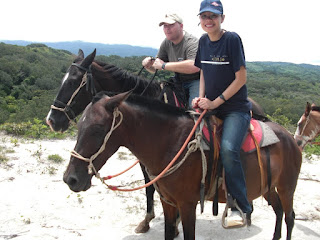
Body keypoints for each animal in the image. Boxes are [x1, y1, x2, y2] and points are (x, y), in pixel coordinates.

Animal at [63, 91, 302, 239]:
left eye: (97, 129)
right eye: (78, 127)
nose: (70, 179)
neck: (171, 141)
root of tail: (291, 139)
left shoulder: (187, 205)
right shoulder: (168, 203)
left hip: (287, 187)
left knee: (289, 217)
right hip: (268, 187)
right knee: (279, 212)